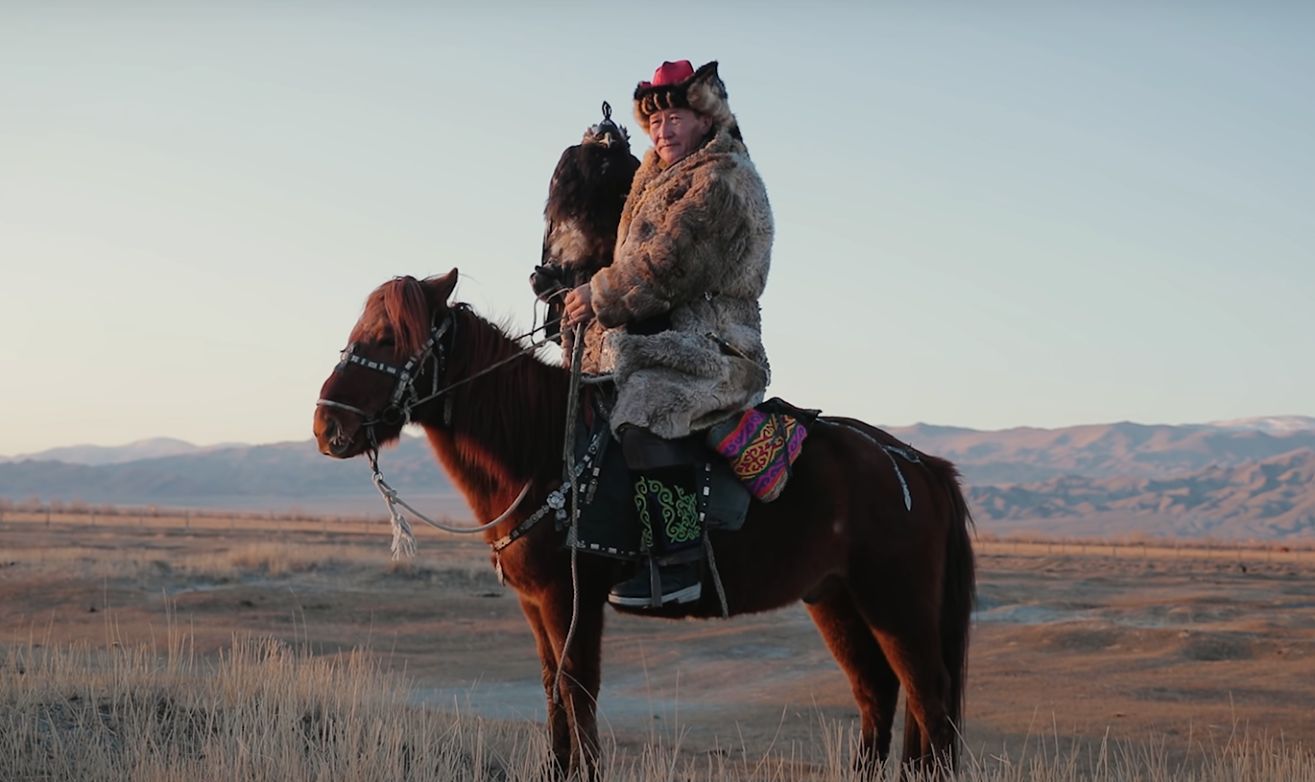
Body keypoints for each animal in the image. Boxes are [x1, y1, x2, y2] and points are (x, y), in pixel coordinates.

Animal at [312, 272, 978, 778]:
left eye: (388, 337)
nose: (326, 427)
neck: (541, 448)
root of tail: (917, 465)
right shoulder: (535, 603)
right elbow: (553, 691)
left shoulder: (571, 596)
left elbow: (578, 691)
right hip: (835, 598)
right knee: (878, 693)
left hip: (895, 600)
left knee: (930, 695)